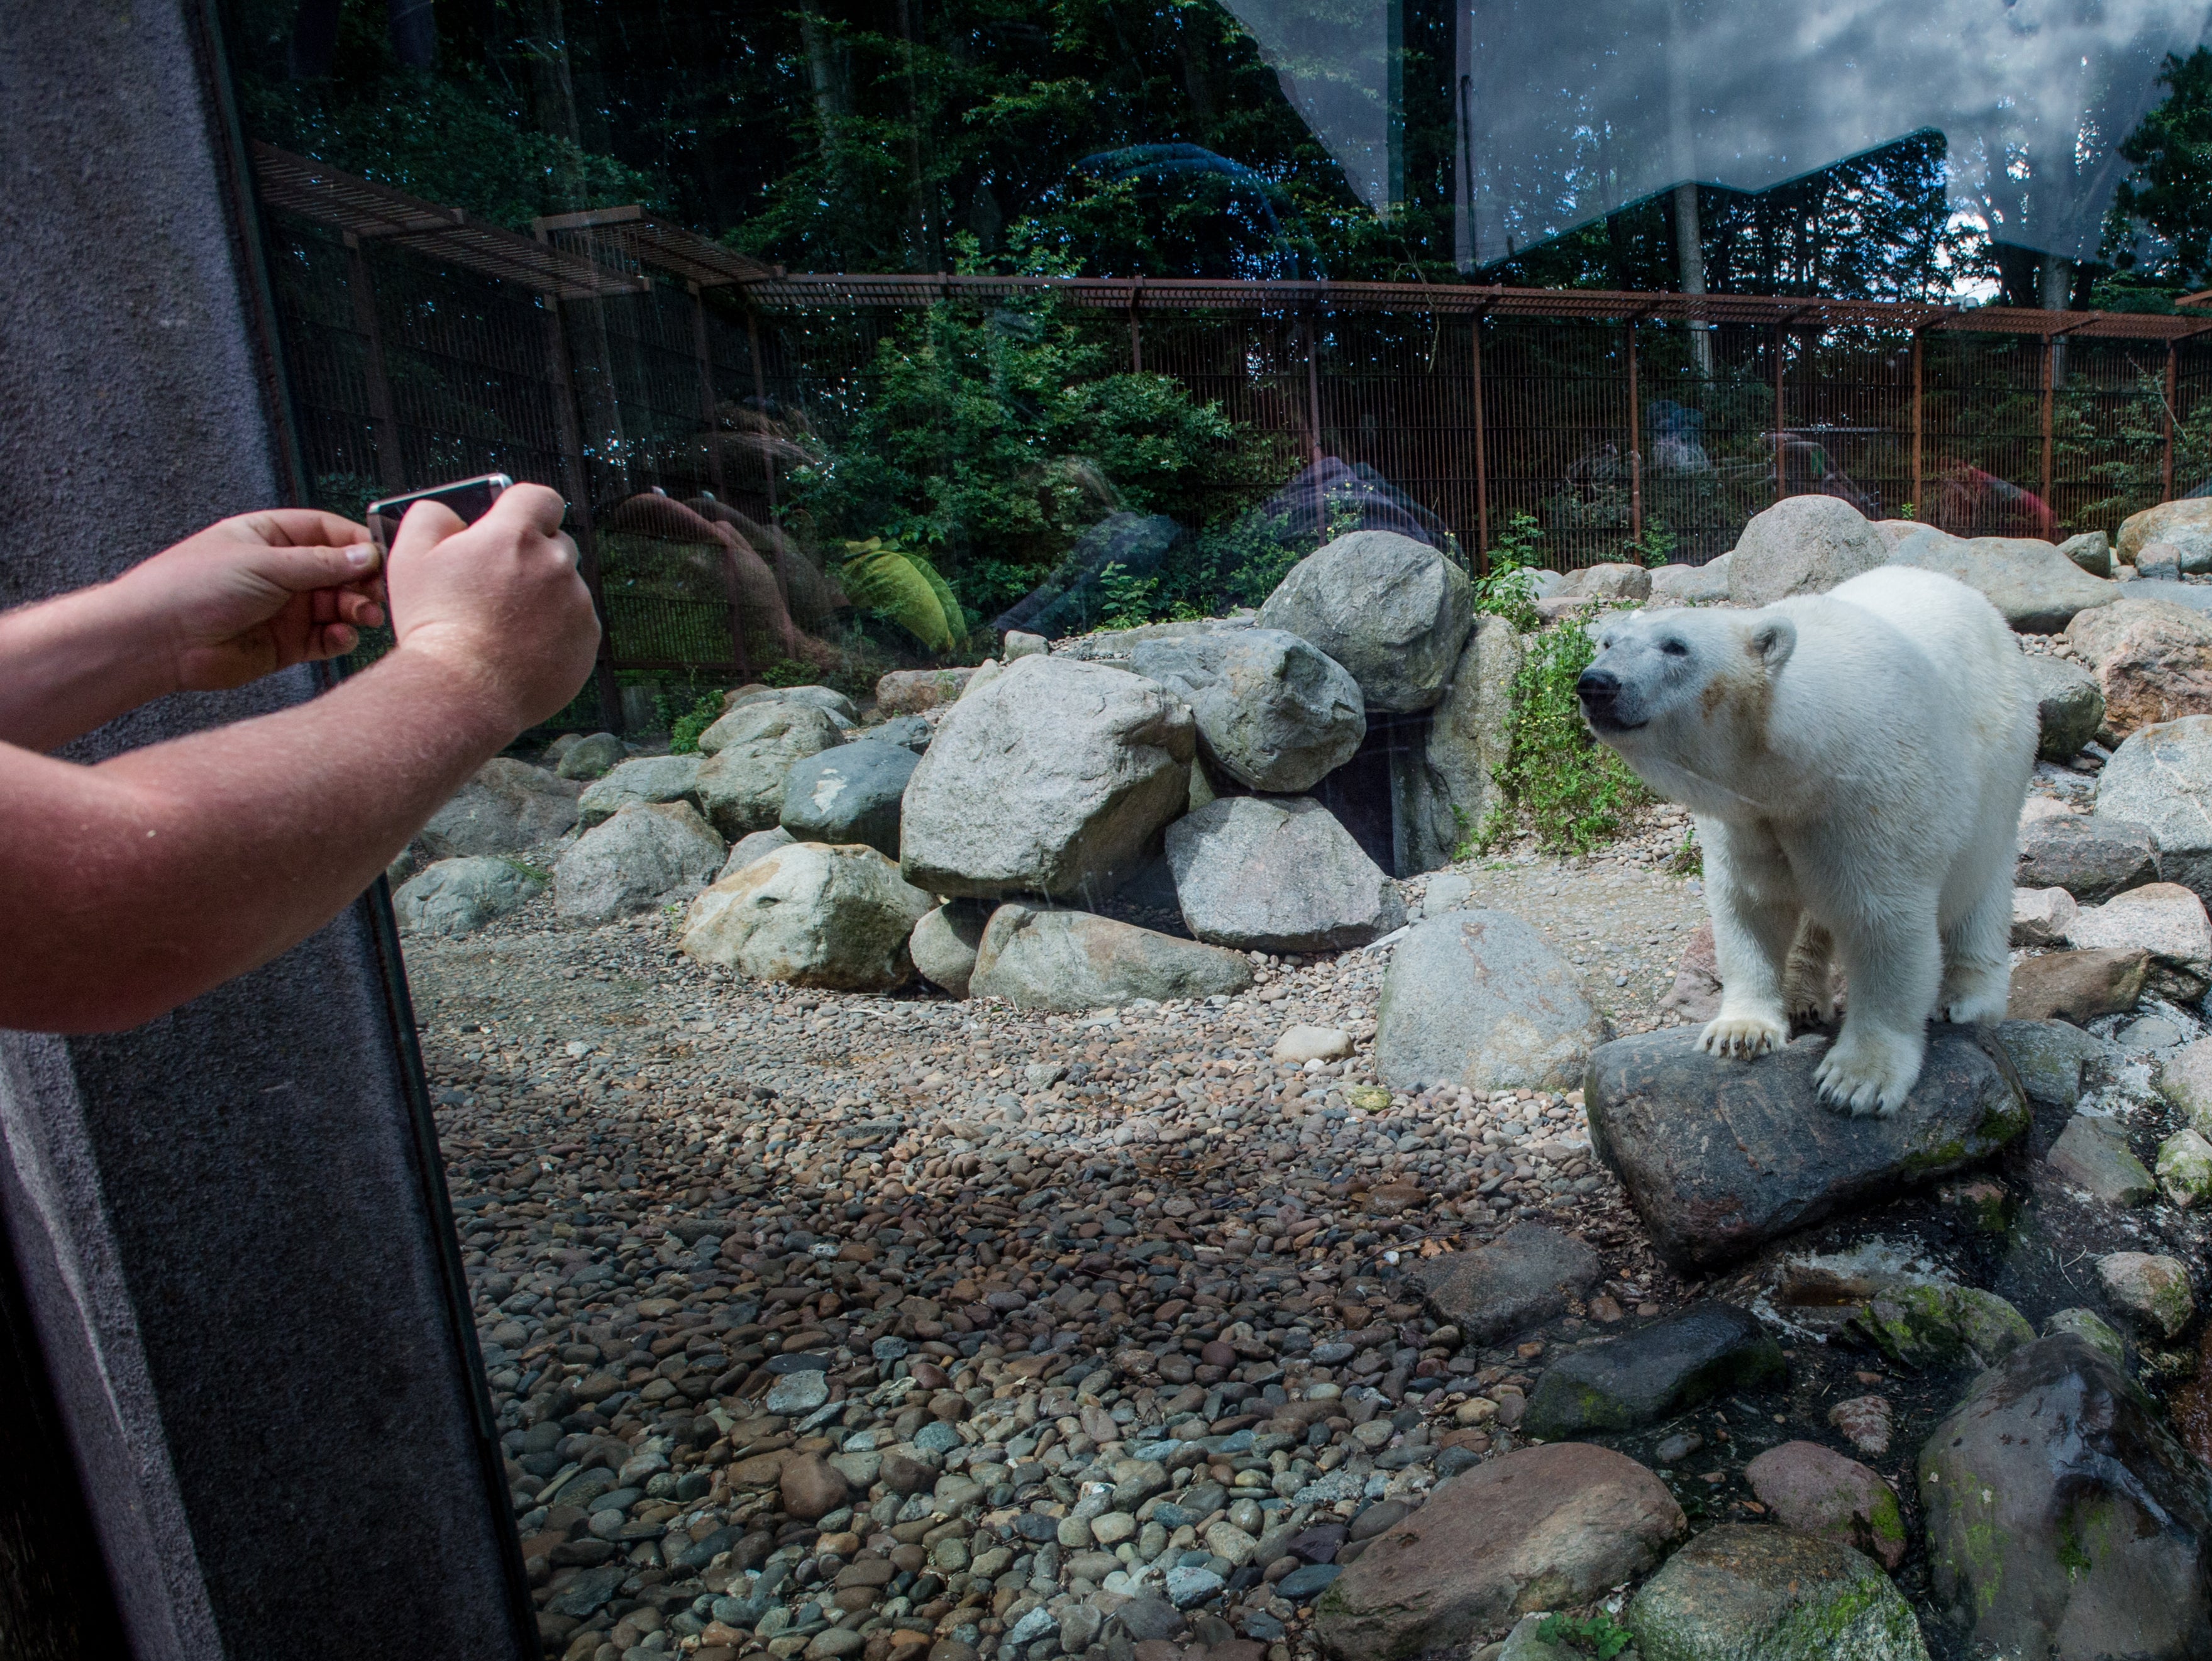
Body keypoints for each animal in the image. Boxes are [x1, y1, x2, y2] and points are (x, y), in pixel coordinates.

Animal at [1583, 566, 2026, 1123]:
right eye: (1607, 641)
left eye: (1676, 646)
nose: (1595, 684)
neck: (1802, 763)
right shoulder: (1750, 817)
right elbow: (1751, 905)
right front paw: (1740, 1032)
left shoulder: (1874, 801)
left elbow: (1885, 926)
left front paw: (1857, 1081)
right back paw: (1802, 998)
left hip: (2000, 776)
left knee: (1981, 887)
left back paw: (1967, 1000)